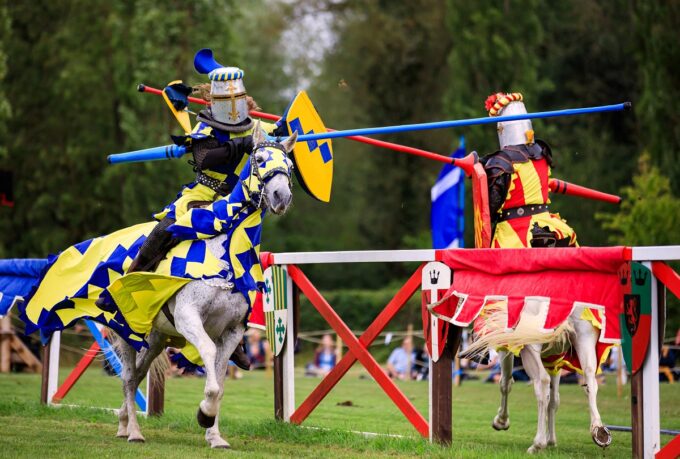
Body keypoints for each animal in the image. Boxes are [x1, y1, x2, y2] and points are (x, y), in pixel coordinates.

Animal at [115, 126, 296, 450]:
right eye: (259, 159)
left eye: (288, 166)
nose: (281, 197)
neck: (223, 253)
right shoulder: (189, 317)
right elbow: (210, 360)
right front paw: (204, 415)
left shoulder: (233, 331)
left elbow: (220, 378)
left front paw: (214, 432)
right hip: (128, 332)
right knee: (128, 377)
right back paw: (134, 430)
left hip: (157, 337)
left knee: (139, 373)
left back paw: (124, 423)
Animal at [468, 300, 612, 454]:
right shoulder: (554, 360)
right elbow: (554, 400)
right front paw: (552, 440)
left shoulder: (507, 344)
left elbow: (505, 383)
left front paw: (501, 421)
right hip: (584, 338)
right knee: (590, 379)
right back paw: (598, 430)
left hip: (531, 345)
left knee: (542, 381)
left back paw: (538, 443)